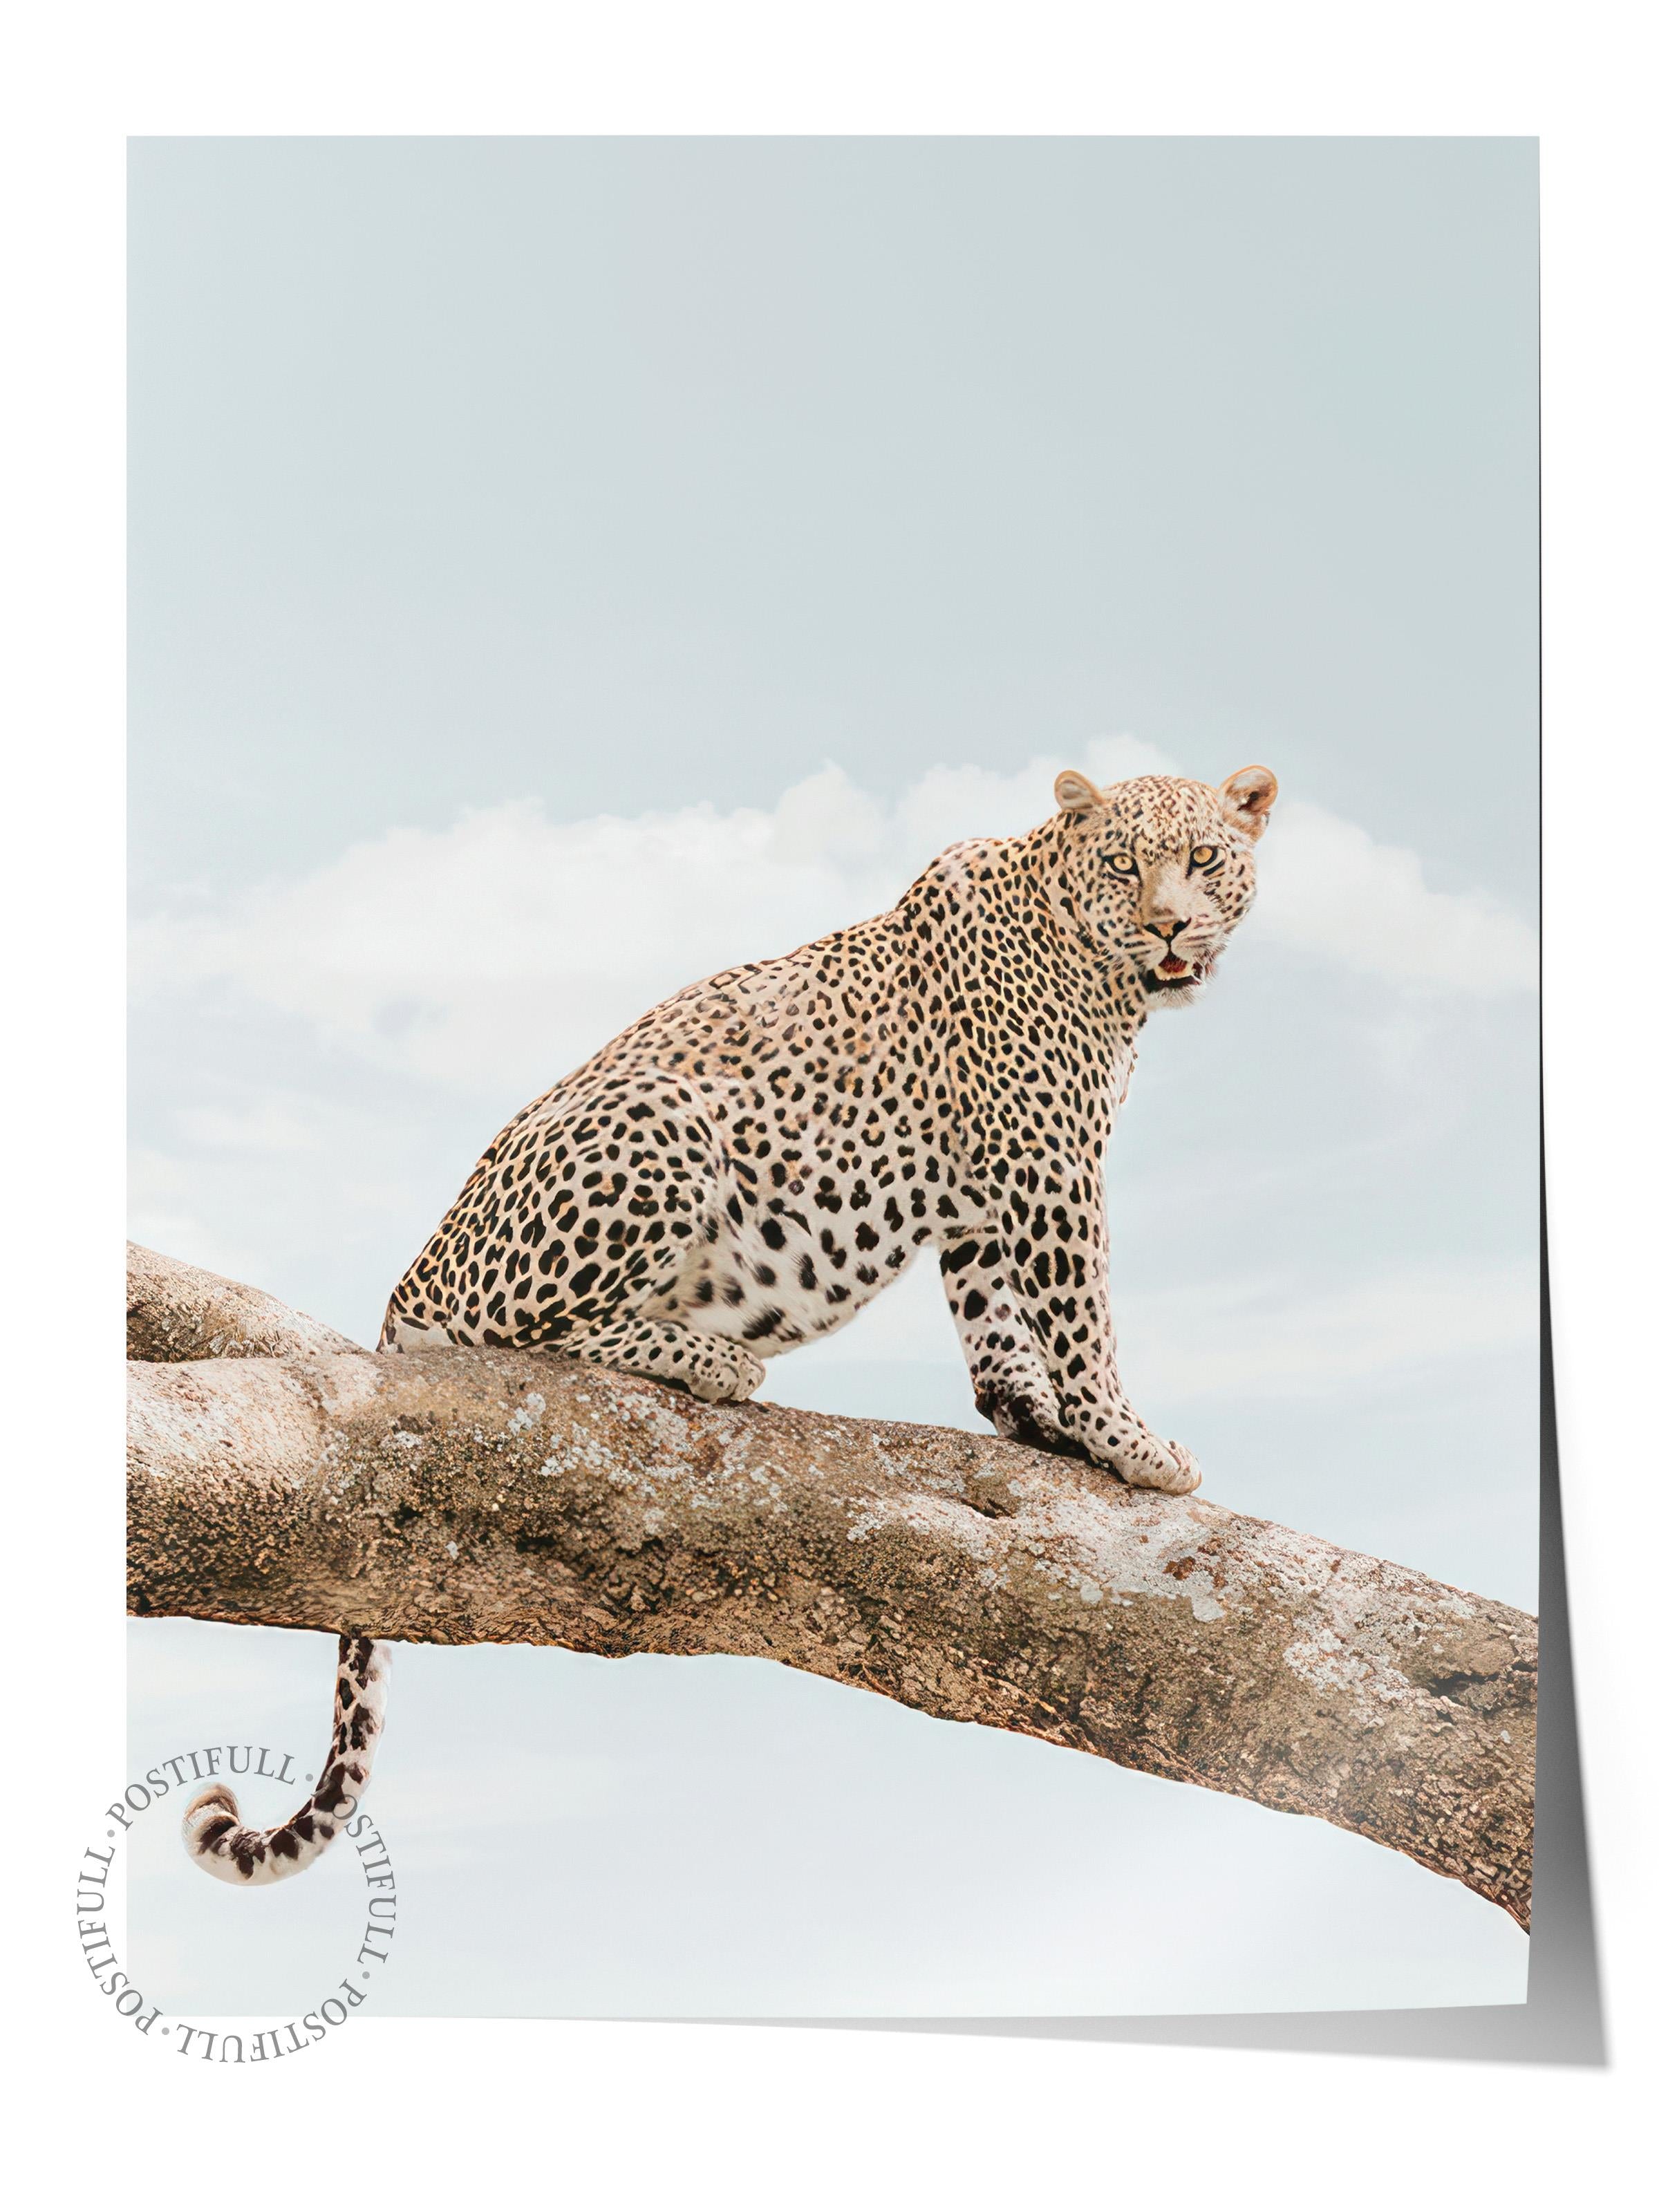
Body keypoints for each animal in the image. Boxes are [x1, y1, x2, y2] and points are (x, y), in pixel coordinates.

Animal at [183, 761, 1274, 1885]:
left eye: (1202, 858)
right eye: (1124, 864)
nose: (1168, 925)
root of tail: (404, 1295)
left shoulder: (986, 1196)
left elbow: (998, 1325)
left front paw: (1037, 1424)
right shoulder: (1050, 1169)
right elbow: (1081, 1313)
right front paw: (1133, 1444)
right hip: (661, 1122)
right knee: (523, 1326)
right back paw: (710, 1356)